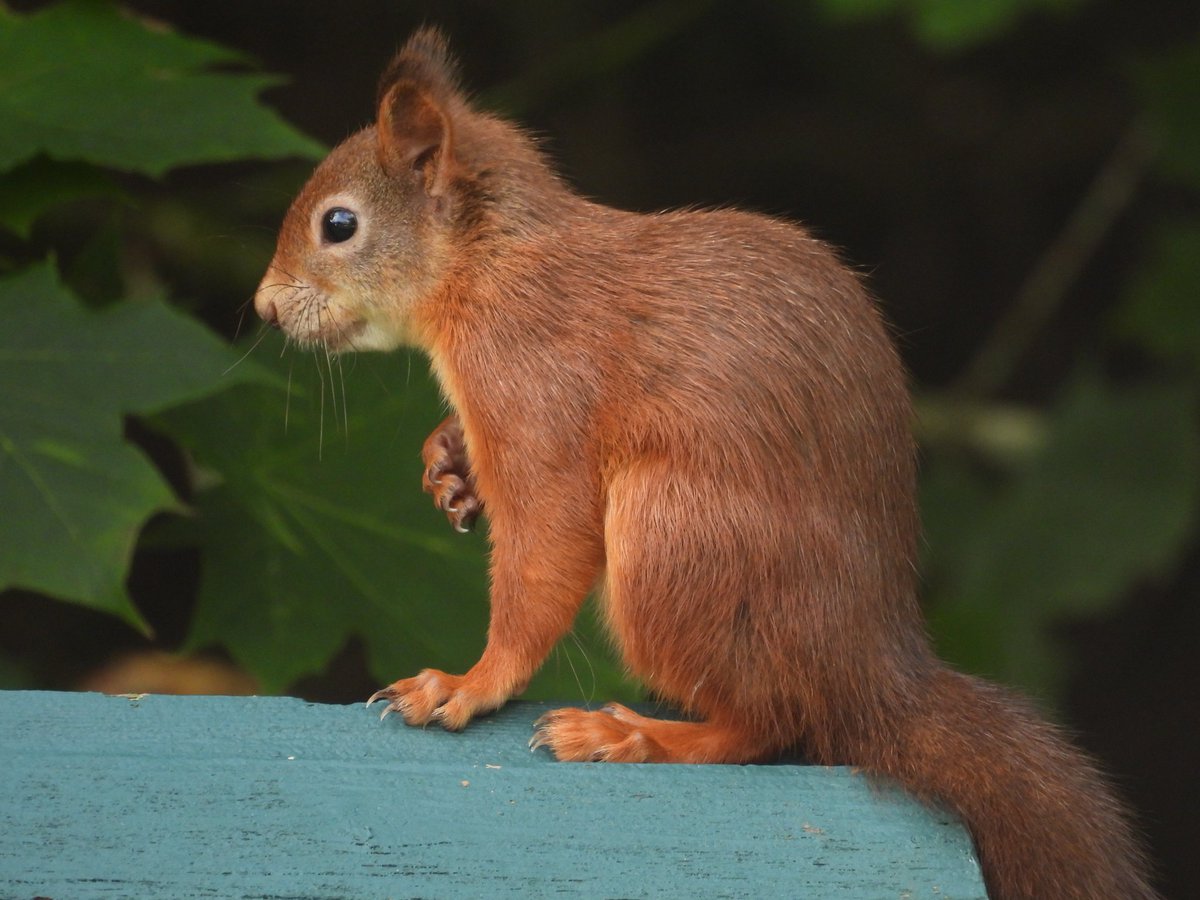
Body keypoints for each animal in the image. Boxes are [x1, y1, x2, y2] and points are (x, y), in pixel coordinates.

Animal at [254, 29, 1156, 899]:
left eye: (339, 225)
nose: (263, 306)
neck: (491, 268)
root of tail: (871, 670)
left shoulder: (536, 390)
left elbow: (545, 548)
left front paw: (471, 682)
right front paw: (447, 461)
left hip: (675, 538)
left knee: (769, 726)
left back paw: (634, 736)